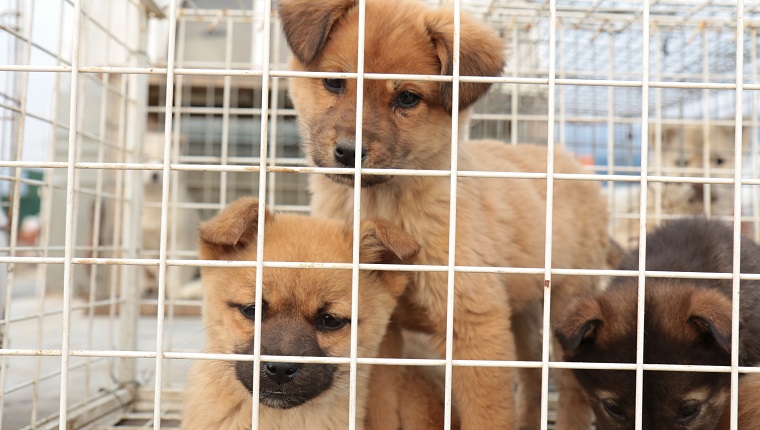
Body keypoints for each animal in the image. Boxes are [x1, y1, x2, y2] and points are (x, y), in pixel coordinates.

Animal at [282, 0, 608, 426]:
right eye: (335, 83)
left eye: (407, 98)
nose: (349, 152)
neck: (387, 208)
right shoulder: (380, 332)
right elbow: (379, 411)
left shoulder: (474, 324)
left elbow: (488, 416)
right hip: (523, 316)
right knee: (533, 378)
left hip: (567, 308)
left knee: (570, 392)